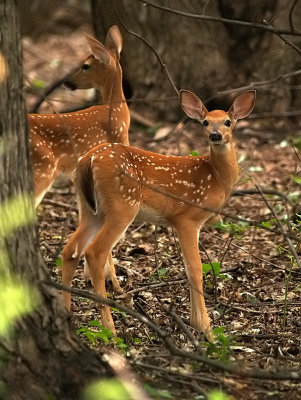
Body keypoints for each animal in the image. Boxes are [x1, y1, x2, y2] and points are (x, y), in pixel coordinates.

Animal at [61, 89, 255, 340]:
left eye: (228, 122)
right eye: (205, 122)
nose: (215, 135)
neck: (215, 178)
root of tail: (89, 159)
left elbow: (188, 269)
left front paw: (195, 324)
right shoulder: (186, 218)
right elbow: (195, 270)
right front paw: (205, 329)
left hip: (90, 208)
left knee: (71, 249)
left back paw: (65, 313)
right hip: (123, 205)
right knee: (95, 252)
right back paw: (110, 329)